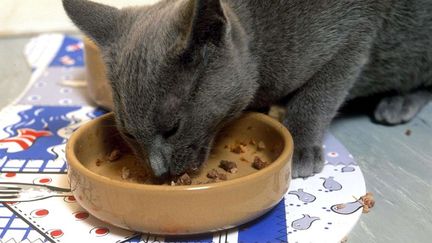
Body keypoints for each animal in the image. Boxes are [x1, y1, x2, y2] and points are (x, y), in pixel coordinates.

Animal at [63, 0, 432, 178]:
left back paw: (398, 103)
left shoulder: (353, 38)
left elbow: (317, 97)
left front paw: (299, 147)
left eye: (173, 128)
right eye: (128, 133)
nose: (158, 170)